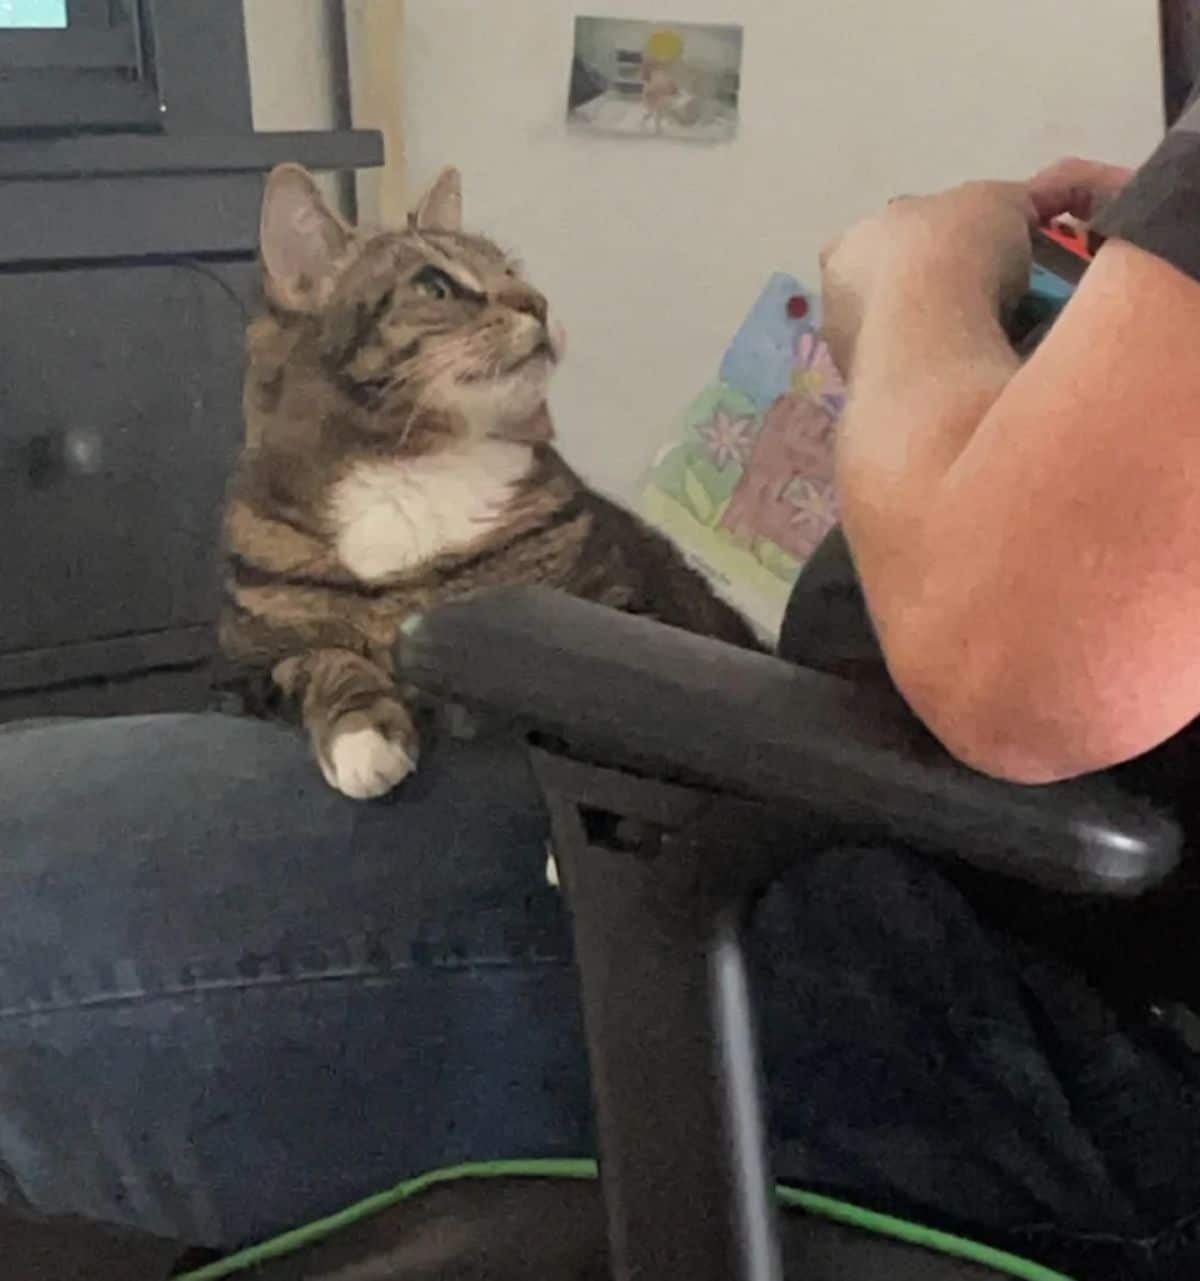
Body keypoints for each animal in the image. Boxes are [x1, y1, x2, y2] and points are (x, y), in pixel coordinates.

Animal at [218, 163, 753, 794]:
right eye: (434, 286)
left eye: (511, 271)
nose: (539, 302)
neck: (411, 467)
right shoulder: (243, 666)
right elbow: (317, 657)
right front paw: (363, 732)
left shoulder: (629, 617)